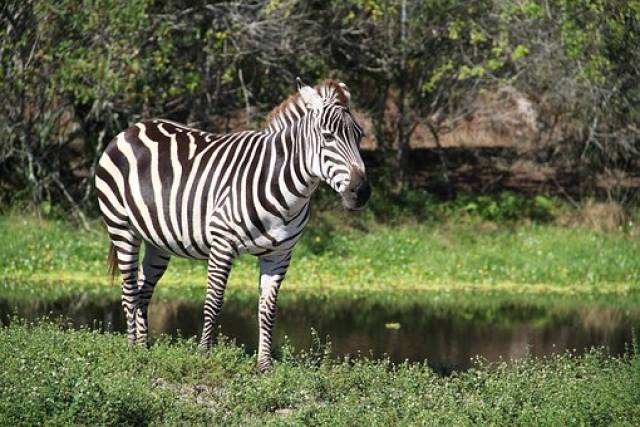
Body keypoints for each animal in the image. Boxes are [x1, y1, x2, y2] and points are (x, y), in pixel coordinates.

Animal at [97, 78, 372, 372]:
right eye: (327, 136)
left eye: (359, 136)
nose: (361, 192)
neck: (284, 187)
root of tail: (131, 128)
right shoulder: (222, 244)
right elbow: (214, 301)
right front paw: (204, 355)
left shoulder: (280, 255)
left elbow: (268, 309)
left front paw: (264, 366)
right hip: (121, 227)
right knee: (129, 288)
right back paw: (131, 351)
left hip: (158, 241)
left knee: (143, 288)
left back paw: (144, 348)